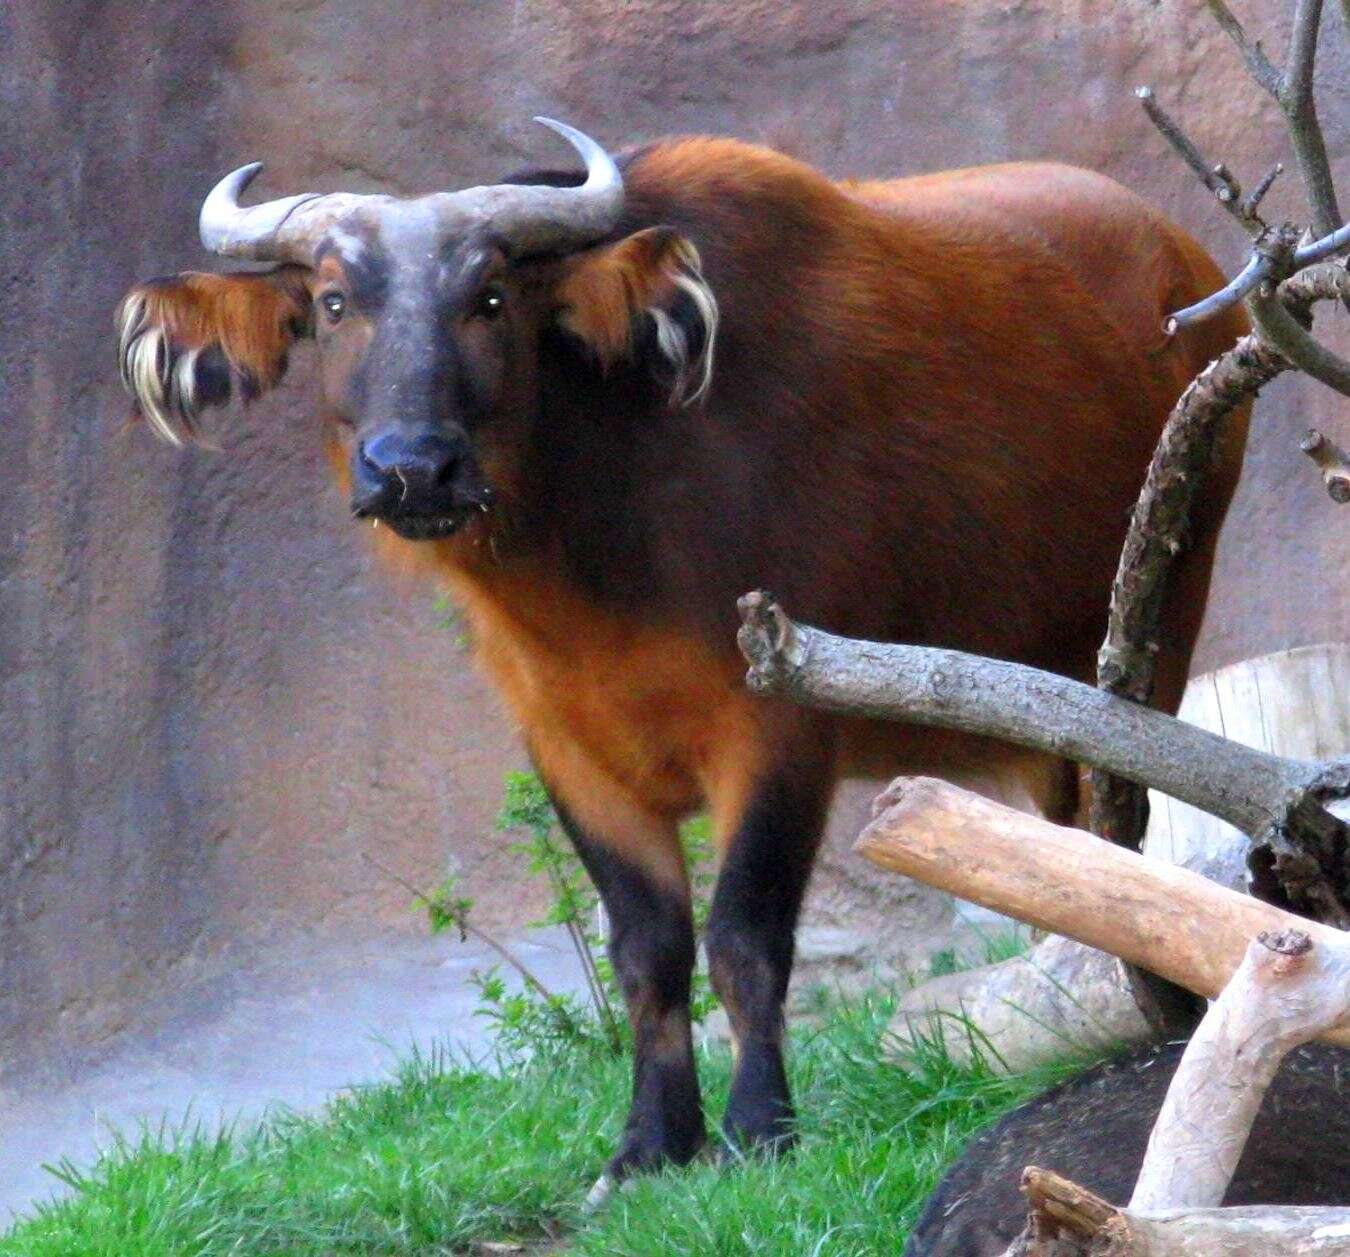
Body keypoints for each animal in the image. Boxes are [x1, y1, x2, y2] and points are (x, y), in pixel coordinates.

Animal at [113, 118, 1242, 1188]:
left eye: (490, 297)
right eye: (335, 300)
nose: (413, 469)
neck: (604, 546)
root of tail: (1188, 264)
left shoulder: (780, 722)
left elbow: (745, 936)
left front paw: (758, 1129)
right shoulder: (566, 749)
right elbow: (647, 952)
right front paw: (649, 1144)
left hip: (1147, 642)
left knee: (1121, 836)